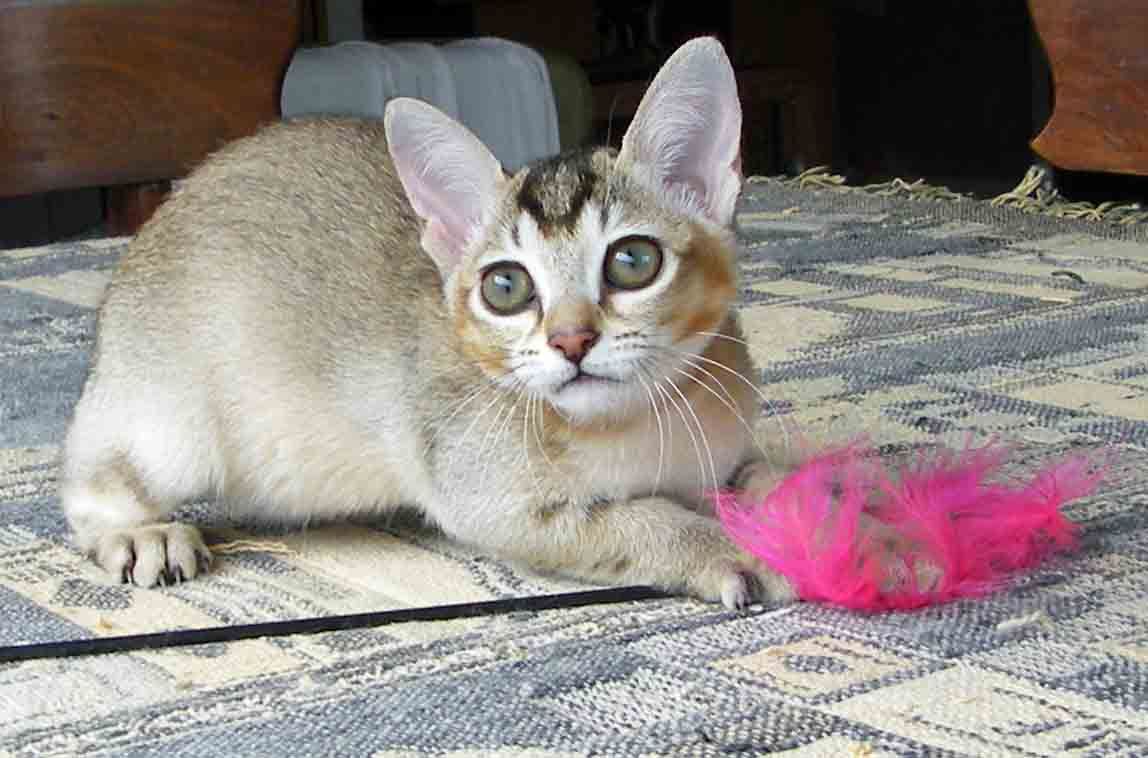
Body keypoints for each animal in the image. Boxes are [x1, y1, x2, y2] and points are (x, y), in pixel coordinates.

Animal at [58, 39, 799, 610]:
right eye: (507, 287)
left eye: (633, 261)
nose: (571, 340)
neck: (642, 425)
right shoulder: (489, 500)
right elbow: (642, 521)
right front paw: (734, 550)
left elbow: (759, 475)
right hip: (174, 429)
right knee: (84, 475)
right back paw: (140, 533)